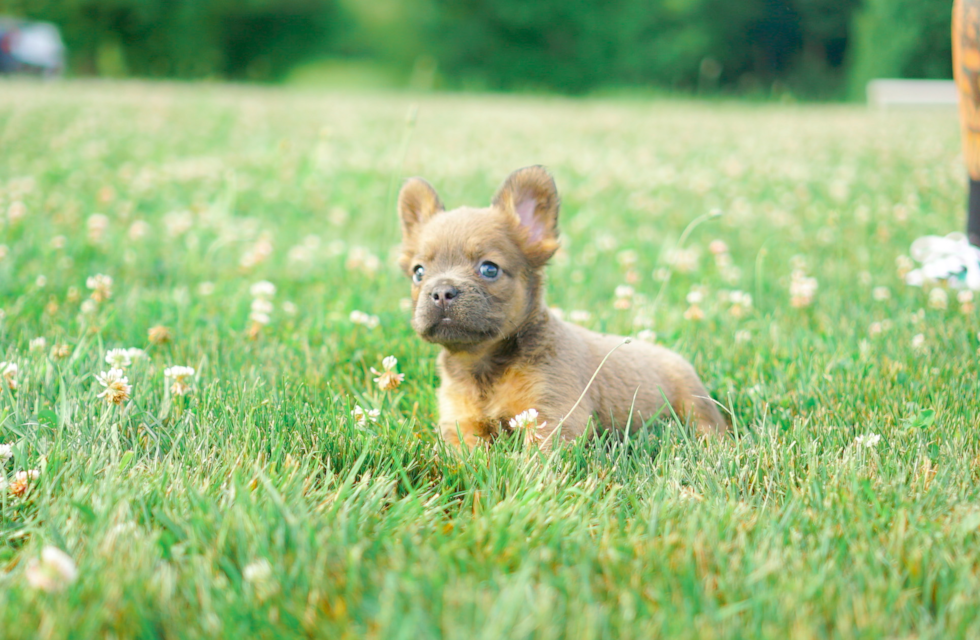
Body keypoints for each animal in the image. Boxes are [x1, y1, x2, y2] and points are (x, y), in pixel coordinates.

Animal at [398, 166, 728, 450]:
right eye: (418, 273)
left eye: (489, 269)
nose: (441, 292)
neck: (481, 366)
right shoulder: (461, 424)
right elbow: (465, 456)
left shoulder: (551, 418)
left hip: (695, 406)